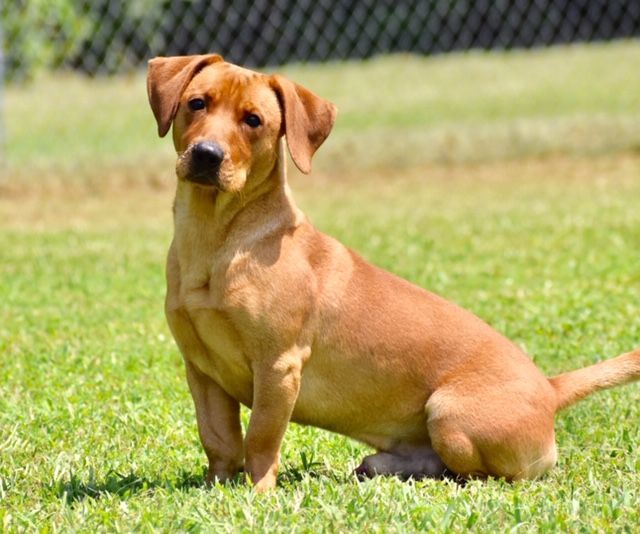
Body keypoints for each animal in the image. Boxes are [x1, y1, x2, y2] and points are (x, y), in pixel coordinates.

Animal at [146, 54, 640, 494]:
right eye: (196, 103)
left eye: (254, 120)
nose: (207, 155)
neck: (217, 240)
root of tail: (551, 389)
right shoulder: (202, 369)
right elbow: (219, 440)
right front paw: (215, 487)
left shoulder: (278, 365)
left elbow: (261, 440)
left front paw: (259, 492)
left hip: (449, 413)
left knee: (483, 475)